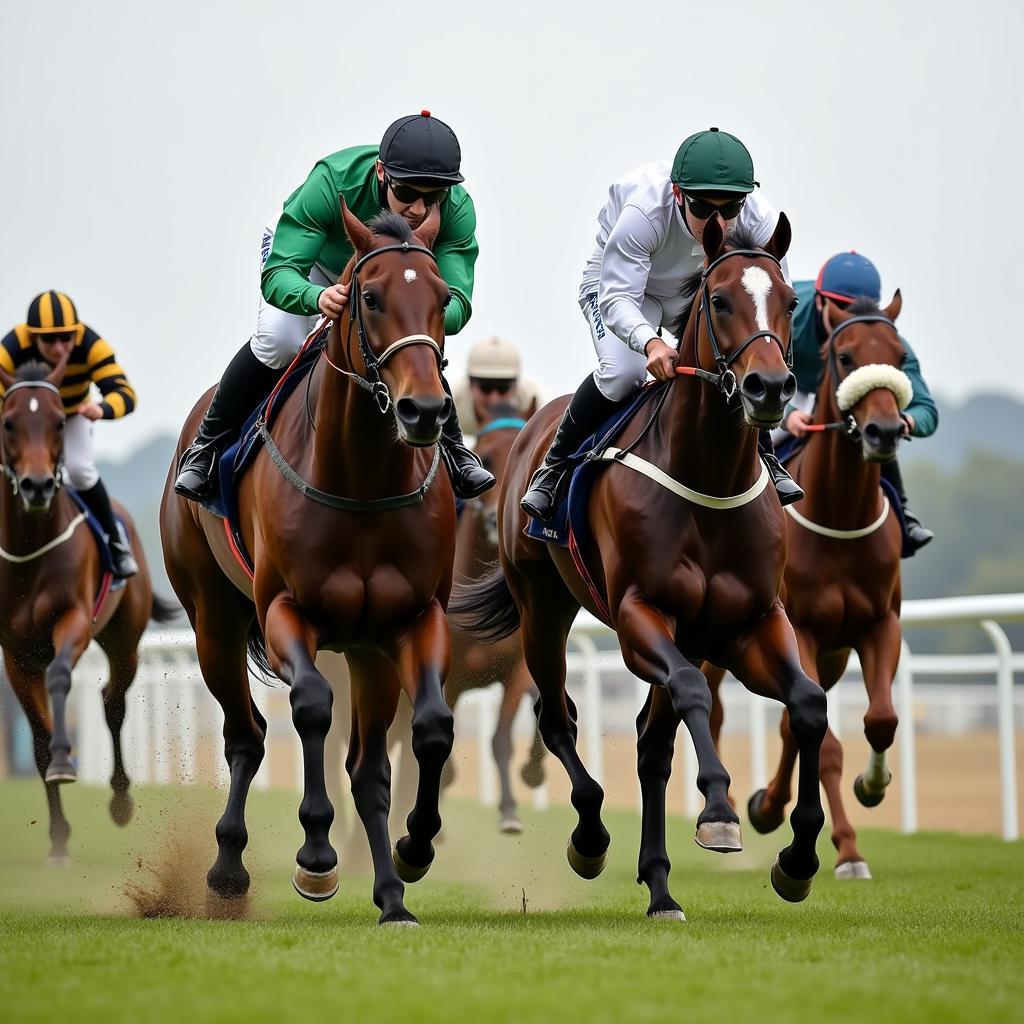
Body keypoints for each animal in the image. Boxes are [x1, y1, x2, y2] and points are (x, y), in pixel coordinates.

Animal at [0, 356, 176, 860]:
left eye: (60, 422)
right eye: (8, 422)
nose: (37, 485)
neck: (30, 553)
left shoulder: (74, 620)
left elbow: (63, 678)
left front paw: (67, 760)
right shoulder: (15, 653)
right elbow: (39, 740)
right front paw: (58, 837)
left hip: (124, 639)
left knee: (112, 701)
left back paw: (120, 798)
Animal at [159, 203, 456, 925]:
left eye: (443, 299)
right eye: (369, 297)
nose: (425, 411)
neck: (363, 481)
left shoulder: (411, 619)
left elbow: (430, 728)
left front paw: (414, 849)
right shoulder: (284, 611)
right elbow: (312, 706)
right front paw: (316, 856)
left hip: (367, 653)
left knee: (368, 767)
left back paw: (391, 895)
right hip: (213, 620)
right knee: (246, 734)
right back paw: (228, 871)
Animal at [452, 216, 827, 921]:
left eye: (791, 301)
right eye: (720, 301)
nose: (769, 388)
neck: (707, 478)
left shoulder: (751, 623)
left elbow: (809, 705)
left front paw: (797, 859)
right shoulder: (639, 616)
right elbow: (692, 693)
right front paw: (719, 810)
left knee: (651, 749)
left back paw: (660, 888)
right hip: (541, 610)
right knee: (557, 718)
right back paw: (592, 837)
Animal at [704, 292, 913, 876]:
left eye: (900, 356)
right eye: (844, 356)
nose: (884, 432)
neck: (841, 519)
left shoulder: (879, 625)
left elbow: (881, 718)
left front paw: (872, 785)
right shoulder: (804, 630)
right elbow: (831, 747)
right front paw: (847, 851)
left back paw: (768, 804)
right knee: (719, 710)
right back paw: (747, 806)